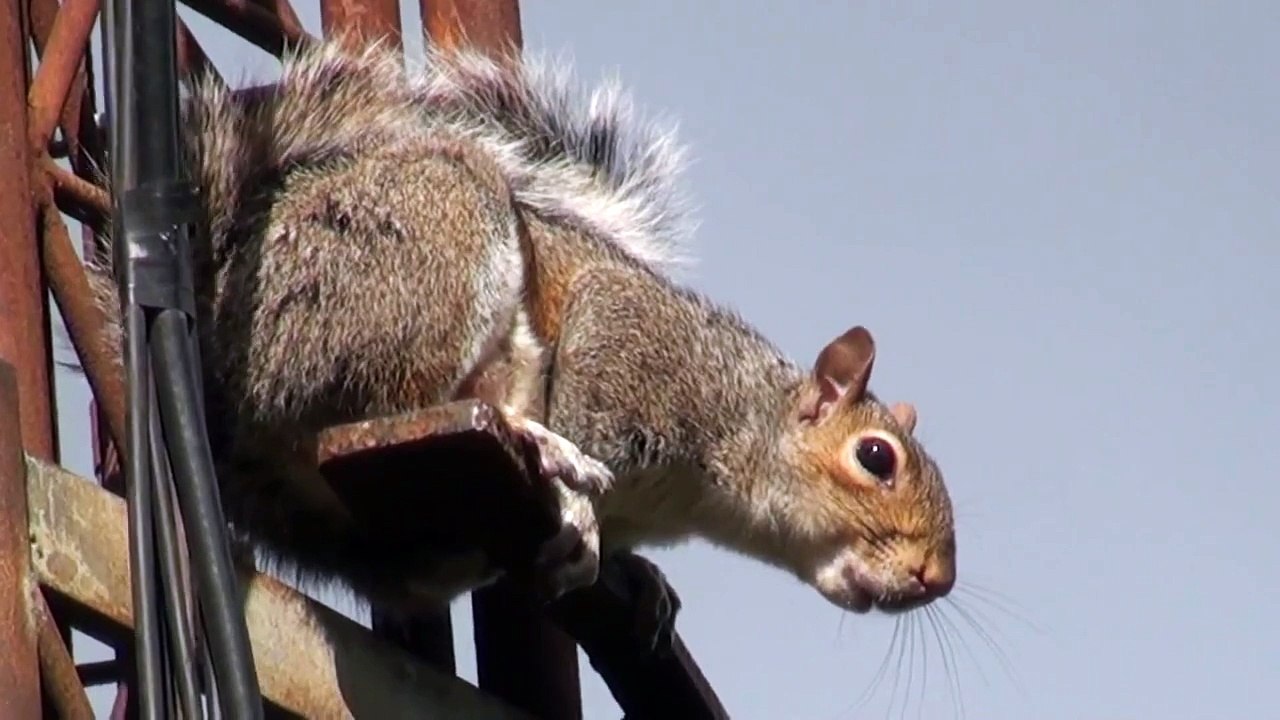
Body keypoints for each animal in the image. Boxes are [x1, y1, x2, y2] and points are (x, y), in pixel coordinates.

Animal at [86, 37, 957, 634]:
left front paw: (643, 581)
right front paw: (581, 514)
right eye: (876, 458)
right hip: (436, 253)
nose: (934, 578)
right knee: (382, 408)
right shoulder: (632, 352)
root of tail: (224, 373)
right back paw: (533, 443)